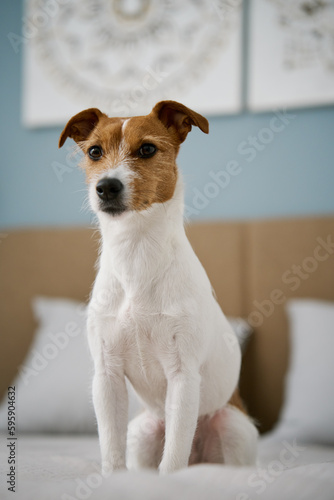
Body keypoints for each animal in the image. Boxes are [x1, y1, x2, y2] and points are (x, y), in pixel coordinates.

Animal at [59, 100, 258, 472]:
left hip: (234, 427)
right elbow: (112, 452)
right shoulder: (107, 377)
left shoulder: (182, 376)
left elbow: (173, 461)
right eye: (94, 152)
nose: (106, 186)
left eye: (148, 149)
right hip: (144, 430)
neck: (136, 251)